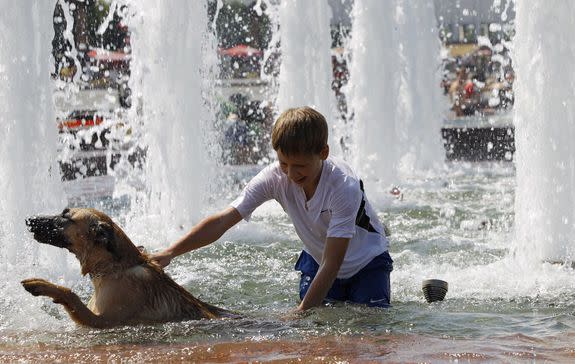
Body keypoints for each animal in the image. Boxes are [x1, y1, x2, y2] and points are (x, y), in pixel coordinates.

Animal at [20, 206, 232, 328]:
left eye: (66, 217)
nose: (28, 219)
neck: (113, 268)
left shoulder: (102, 321)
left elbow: (71, 295)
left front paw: (41, 284)